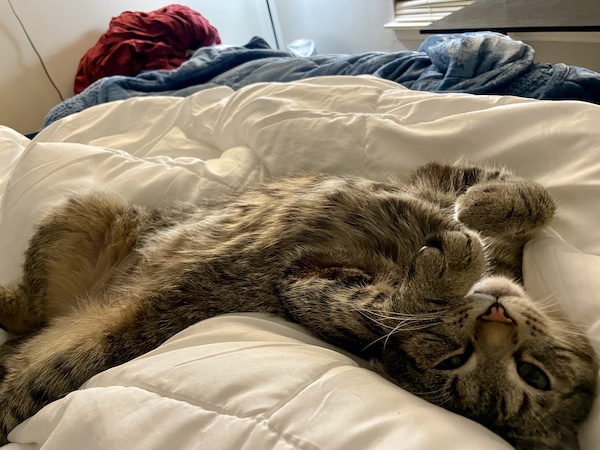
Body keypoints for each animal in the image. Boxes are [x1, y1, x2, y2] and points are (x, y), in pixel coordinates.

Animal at [0, 161, 596, 446]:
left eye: (531, 376)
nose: (493, 319)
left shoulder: (307, 281)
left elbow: (382, 305)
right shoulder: (433, 176)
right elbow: (528, 194)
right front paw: (477, 211)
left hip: (51, 366)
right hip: (88, 207)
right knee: (24, 305)